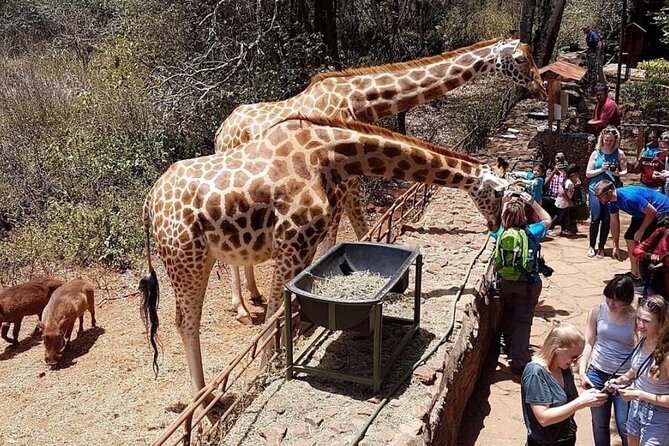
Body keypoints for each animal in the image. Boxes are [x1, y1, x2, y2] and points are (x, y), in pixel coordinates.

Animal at [139, 117, 509, 399]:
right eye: (498, 192)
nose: (496, 224)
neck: (328, 155)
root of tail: (150, 202)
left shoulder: (306, 245)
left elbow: (290, 307)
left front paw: (295, 342)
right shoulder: (291, 241)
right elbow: (274, 314)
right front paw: (265, 371)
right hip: (187, 258)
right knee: (185, 322)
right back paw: (204, 402)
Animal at [214, 38, 546, 322]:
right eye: (520, 59)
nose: (541, 89)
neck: (362, 100)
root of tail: (222, 130)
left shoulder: (348, 176)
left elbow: (361, 229)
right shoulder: (338, 179)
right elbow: (338, 233)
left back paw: (255, 295)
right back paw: (241, 308)